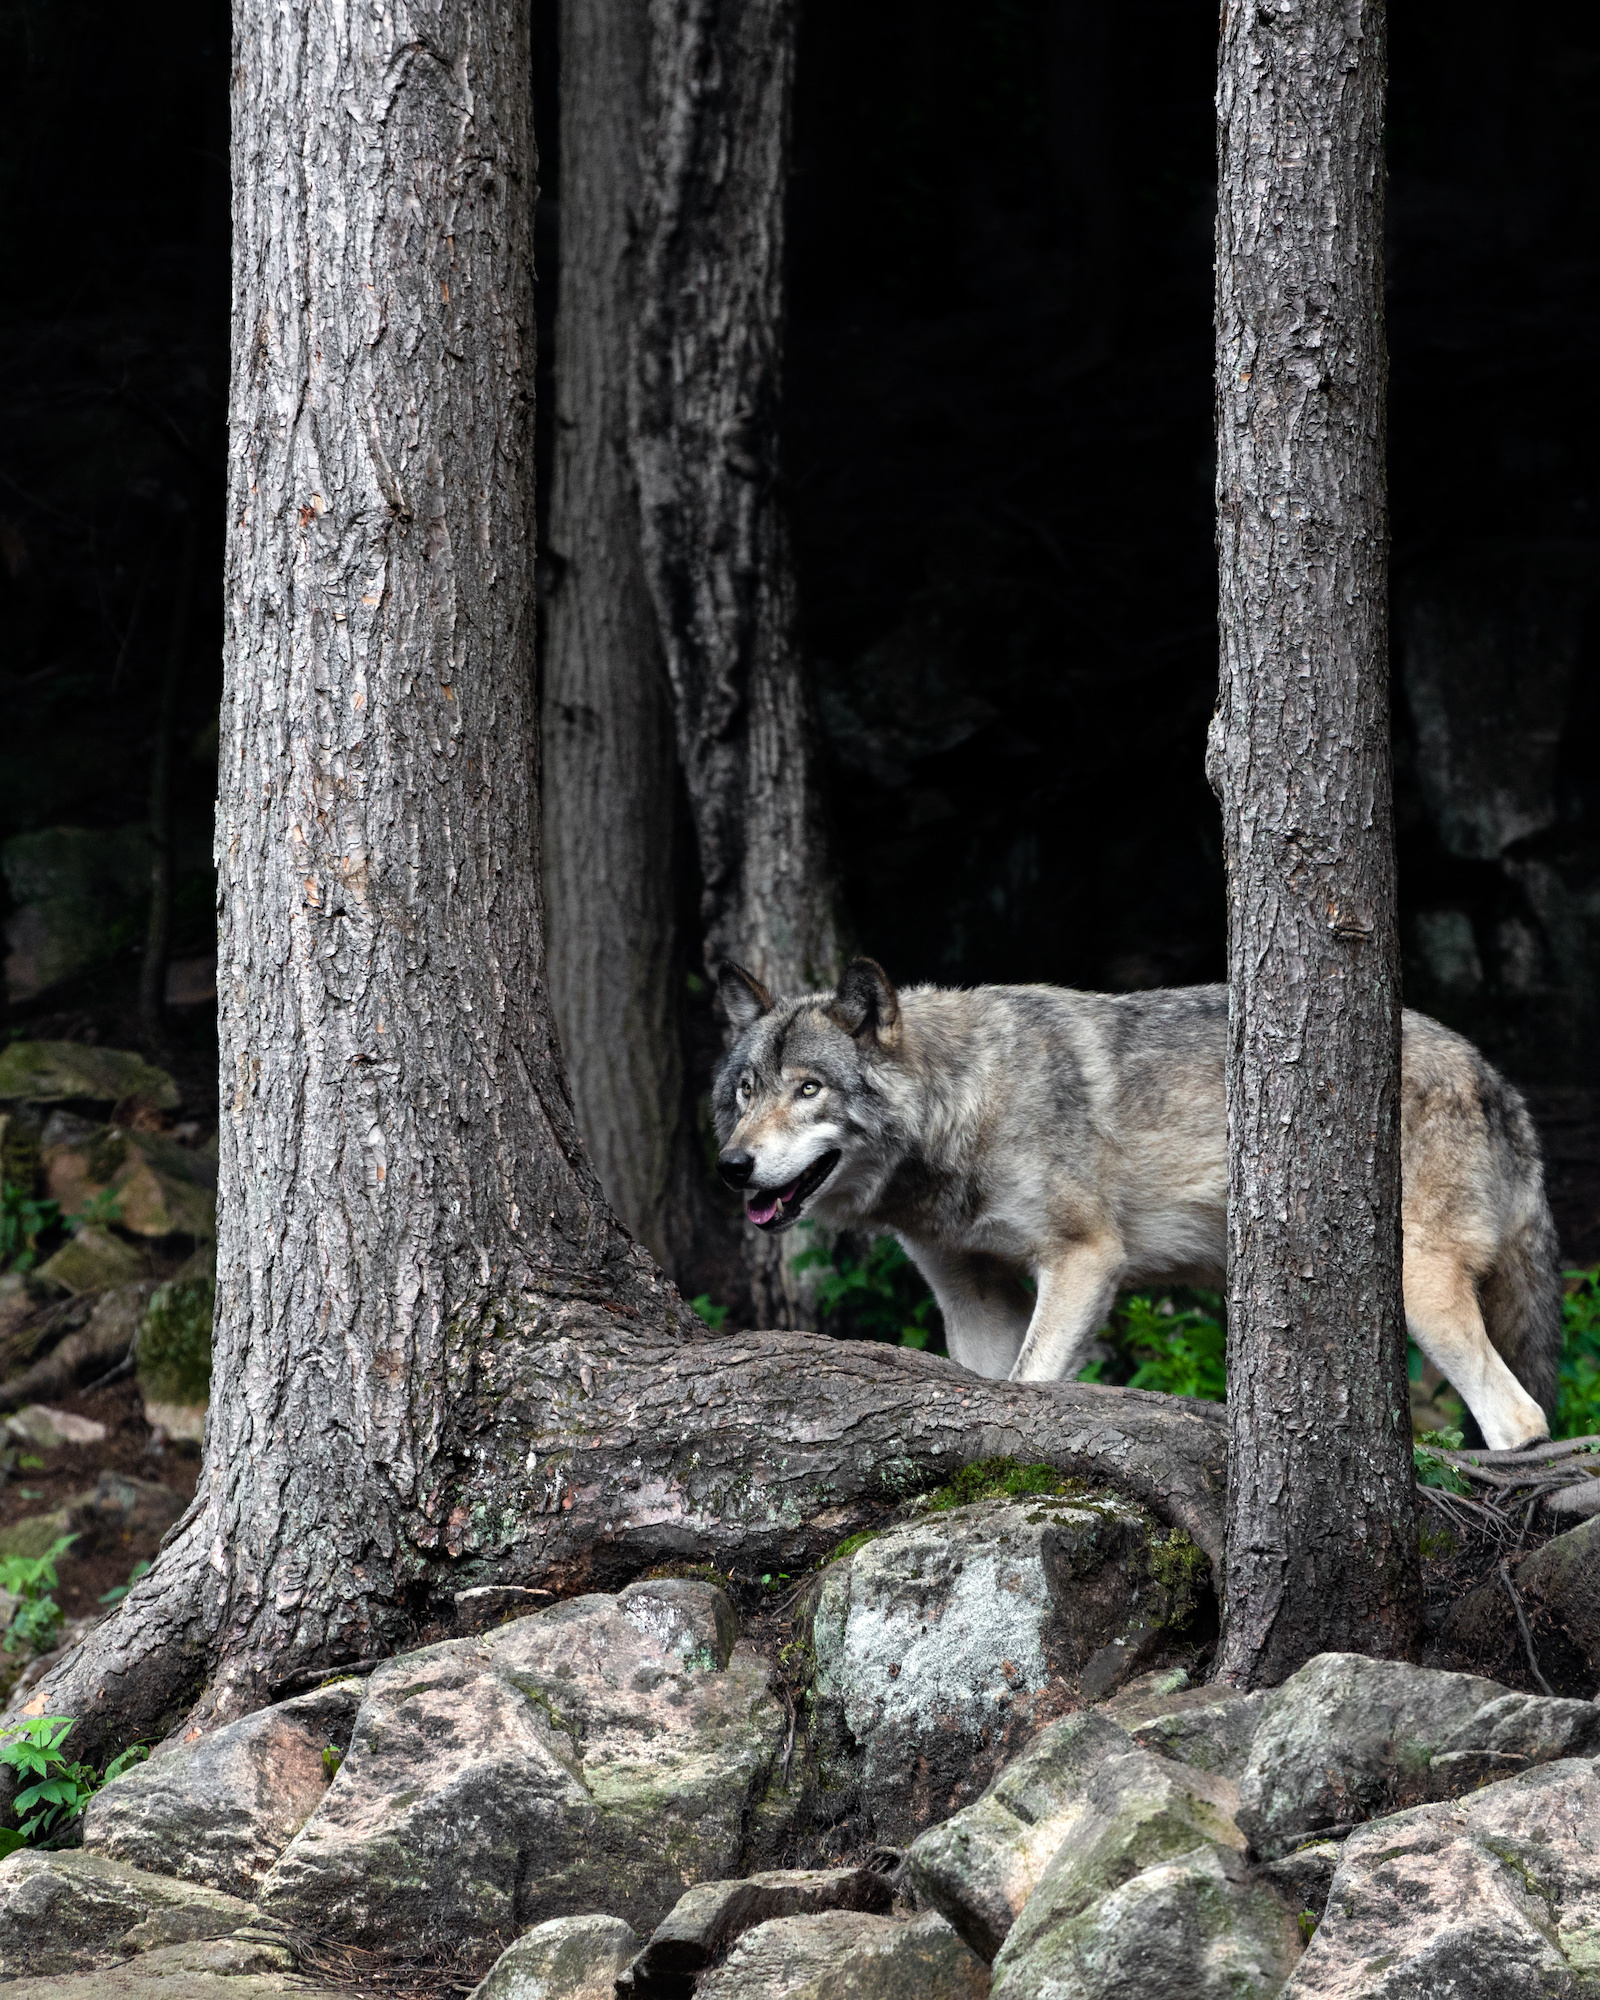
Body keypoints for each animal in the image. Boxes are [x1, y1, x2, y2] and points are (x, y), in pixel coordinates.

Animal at [710, 958, 1562, 1452]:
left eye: (810, 1089)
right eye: (747, 1091)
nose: (731, 1166)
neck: (967, 1101)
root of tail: (1495, 1076)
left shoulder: (1085, 1258)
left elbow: (1032, 1383)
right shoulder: (970, 1296)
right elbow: (990, 1389)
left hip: (1420, 1295)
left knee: (1521, 1421)